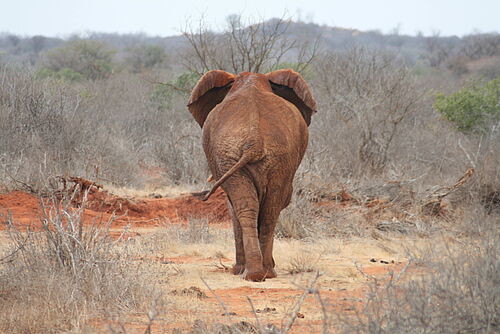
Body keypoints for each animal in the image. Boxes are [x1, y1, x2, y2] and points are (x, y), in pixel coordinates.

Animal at [188, 69, 316, 280]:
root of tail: (254, 139)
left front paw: (237, 270)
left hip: (244, 156)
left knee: (252, 207)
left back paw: (255, 273)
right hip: (264, 156)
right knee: (266, 208)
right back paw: (261, 274)